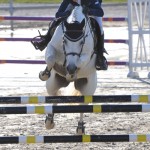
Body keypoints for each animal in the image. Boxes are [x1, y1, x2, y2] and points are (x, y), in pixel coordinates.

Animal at [44, 5, 98, 134]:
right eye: (64, 40)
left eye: (82, 42)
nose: (71, 68)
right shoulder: (52, 46)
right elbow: (50, 58)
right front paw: (44, 74)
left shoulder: (86, 55)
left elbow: (80, 61)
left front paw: (71, 73)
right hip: (53, 83)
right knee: (54, 96)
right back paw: (49, 121)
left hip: (88, 88)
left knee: (83, 105)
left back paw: (80, 128)